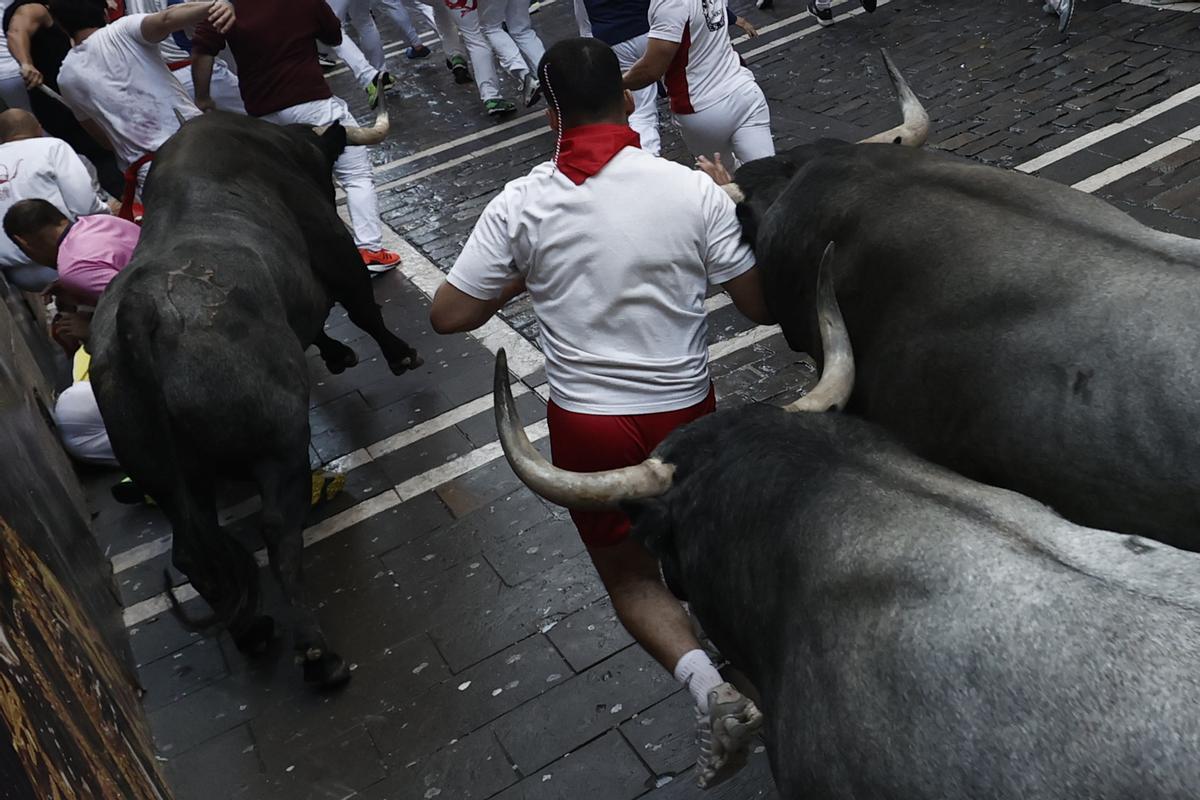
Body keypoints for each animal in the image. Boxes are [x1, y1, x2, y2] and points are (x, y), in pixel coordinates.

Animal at [87, 104, 422, 690]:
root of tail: (141, 309)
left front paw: (338, 353)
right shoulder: (334, 250)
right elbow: (361, 307)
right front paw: (398, 354)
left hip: (171, 477)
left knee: (192, 552)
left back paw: (253, 631)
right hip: (279, 442)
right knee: (276, 530)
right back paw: (318, 652)